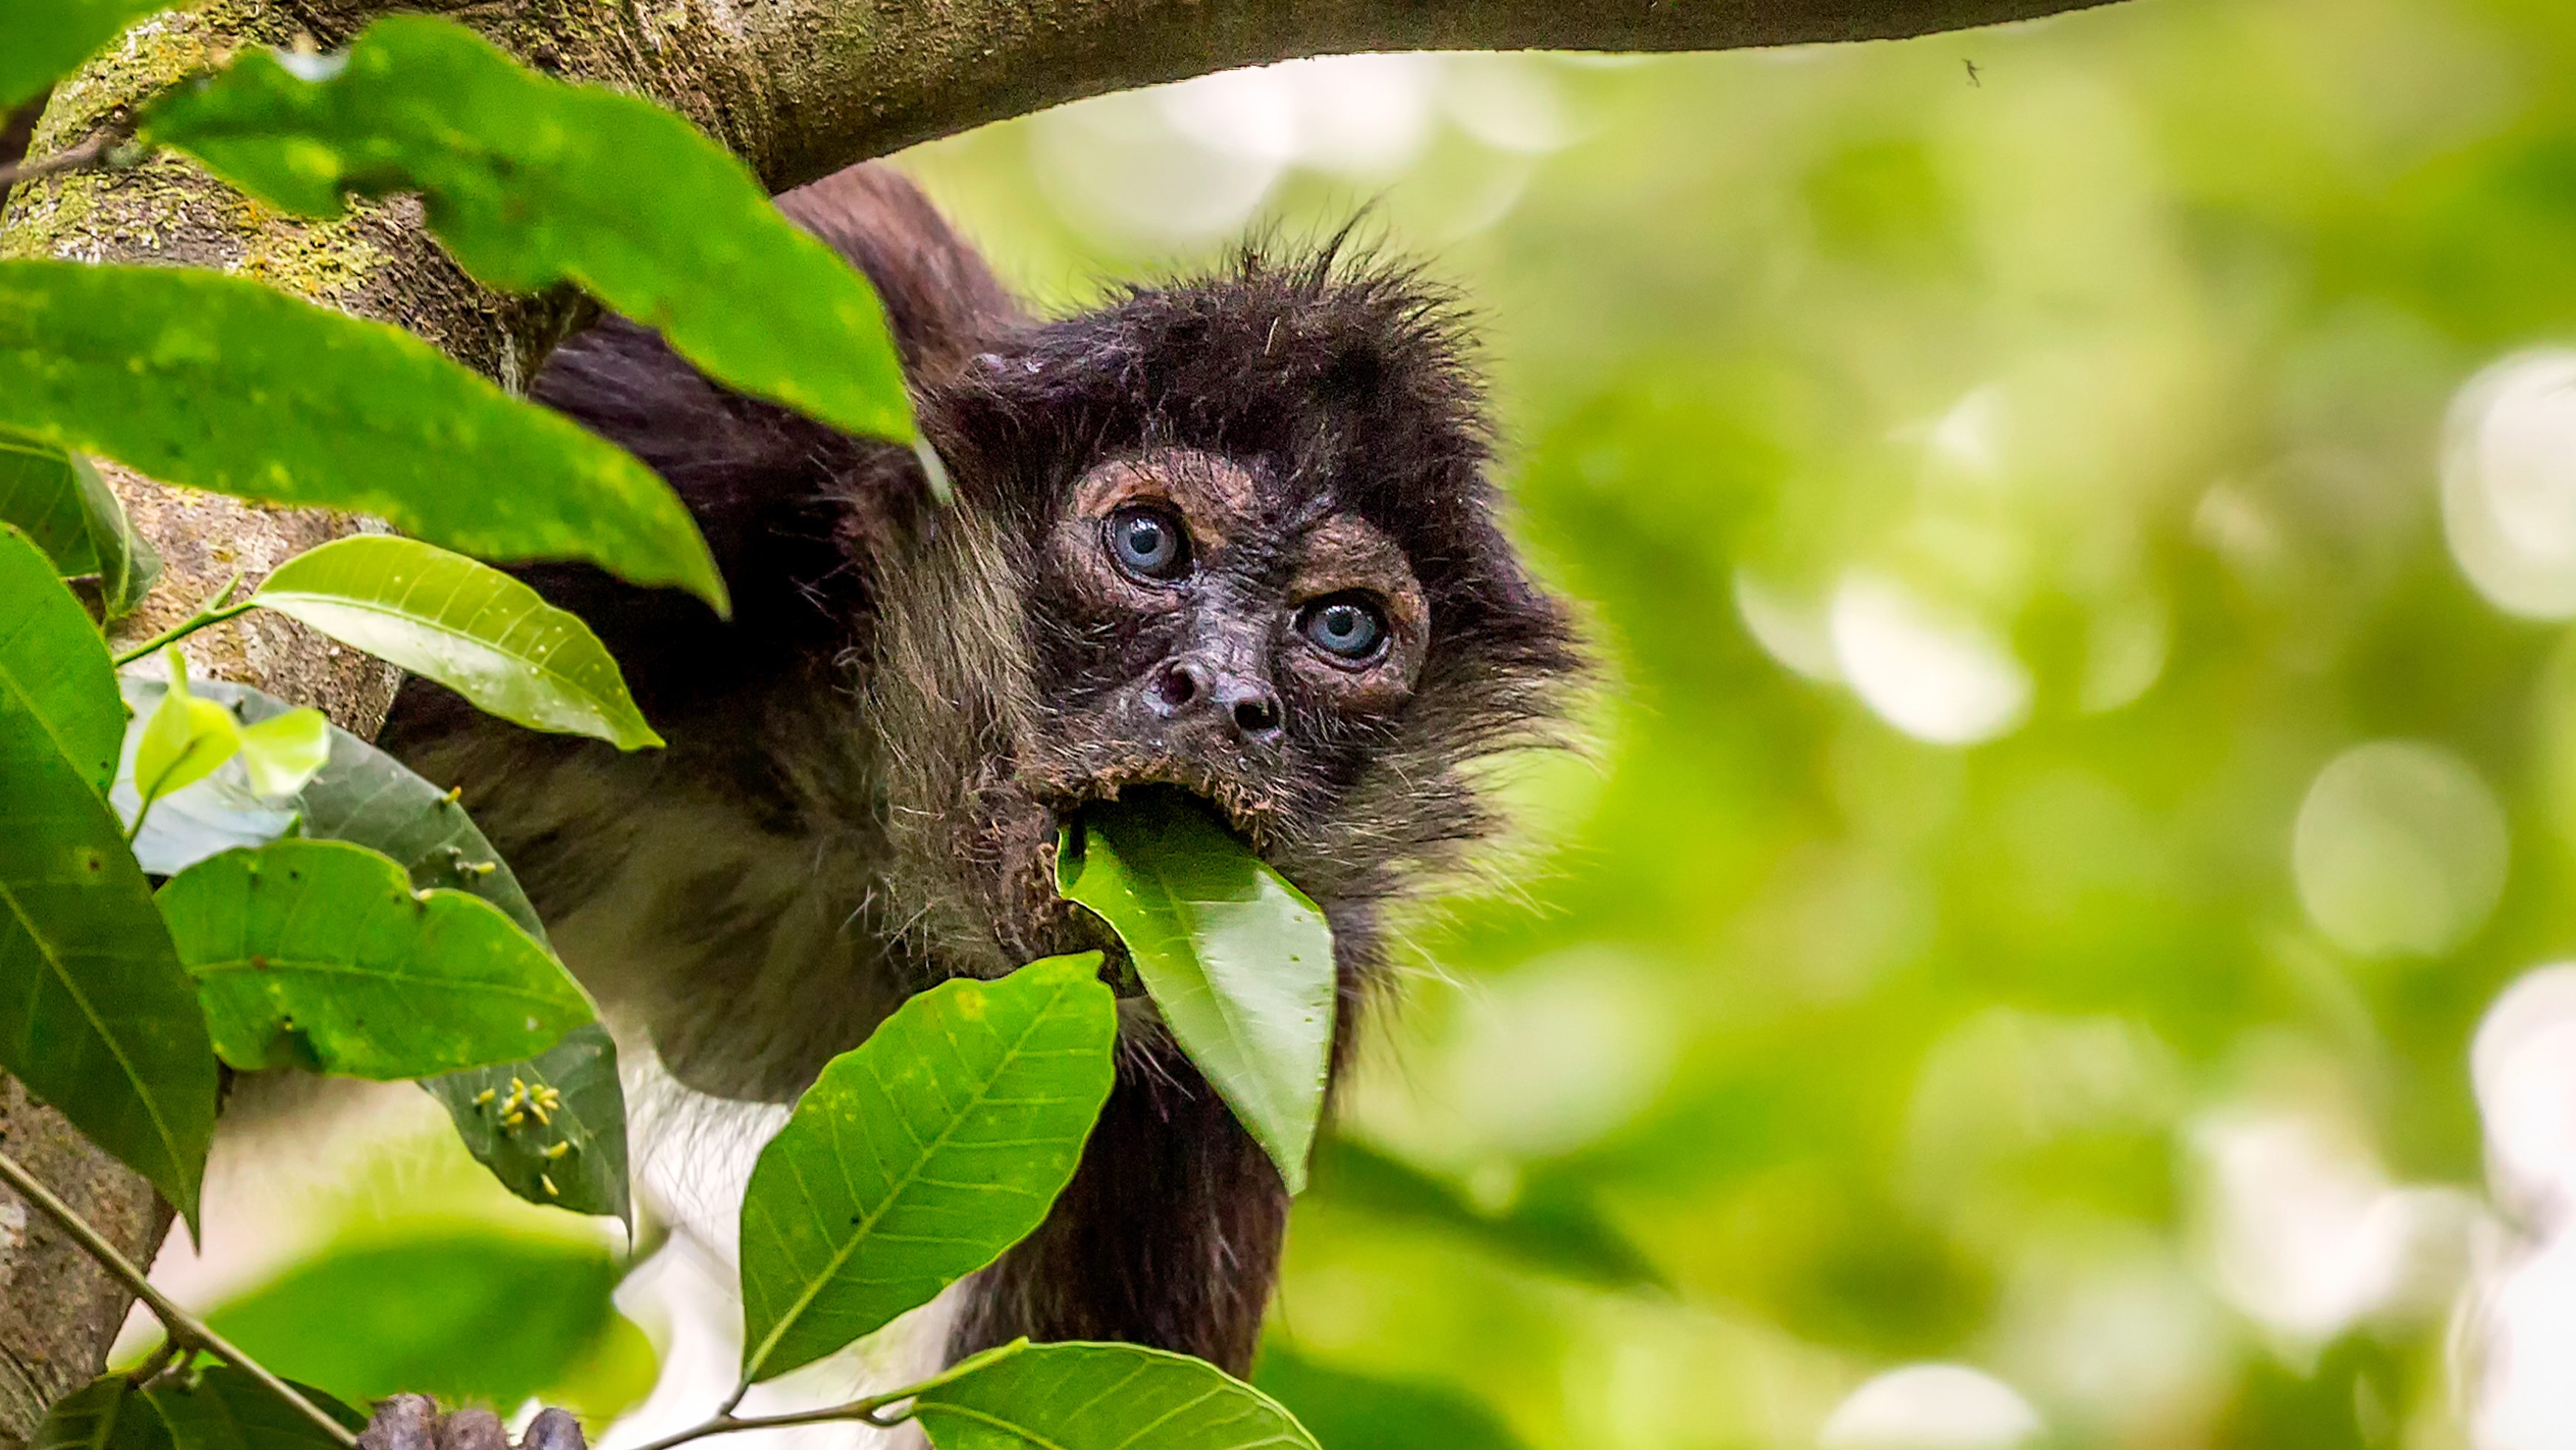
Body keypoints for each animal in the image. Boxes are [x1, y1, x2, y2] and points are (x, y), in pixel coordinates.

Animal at [381, 164, 1576, 1380]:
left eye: (1340, 627)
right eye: (1148, 544)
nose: (1225, 697)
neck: (849, 808)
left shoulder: (1280, 1006)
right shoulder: (692, 451)